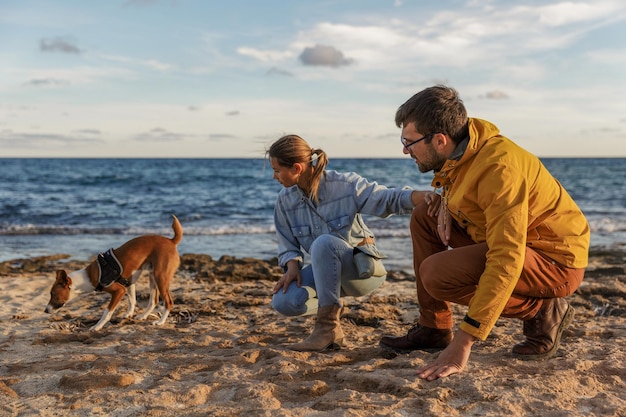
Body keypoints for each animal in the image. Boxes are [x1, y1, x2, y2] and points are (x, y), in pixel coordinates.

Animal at [44, 216, 182, 330]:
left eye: (53, 294)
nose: (45, 310)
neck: (89, 276)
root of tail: (171, 241)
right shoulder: (129, 282)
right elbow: (132, 301)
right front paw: (128, 314)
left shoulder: (119, 291)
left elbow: (107, 312)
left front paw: (97, 326)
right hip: (153, 277)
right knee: (154, 301)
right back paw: (143, 316)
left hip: (160, 277)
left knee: (168, 302)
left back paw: (160, 322)